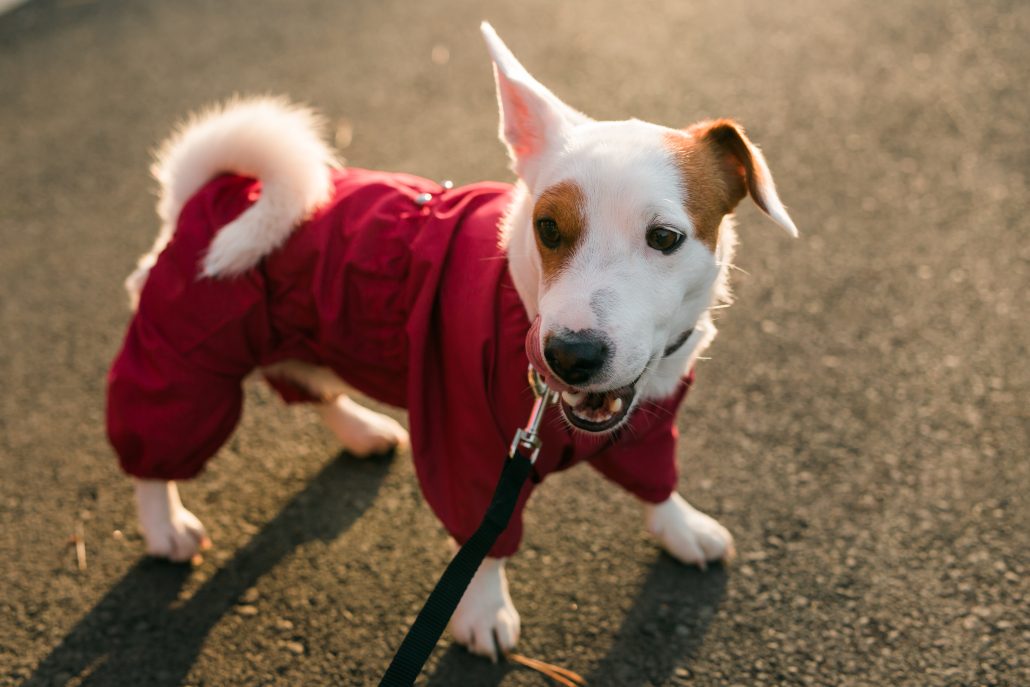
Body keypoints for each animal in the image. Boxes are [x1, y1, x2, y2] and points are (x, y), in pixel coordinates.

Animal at [106, 24, 795, 659]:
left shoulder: (647, 425)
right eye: (548, 228)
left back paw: (359, 430)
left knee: (310, 385)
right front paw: (483, 611)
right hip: (185, 359)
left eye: (665, 238)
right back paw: (164, 524)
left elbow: (658, 481)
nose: (569, 356)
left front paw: (680, 526)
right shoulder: (466, 443)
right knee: (154, 448)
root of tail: (214, 190)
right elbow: (482, 542)